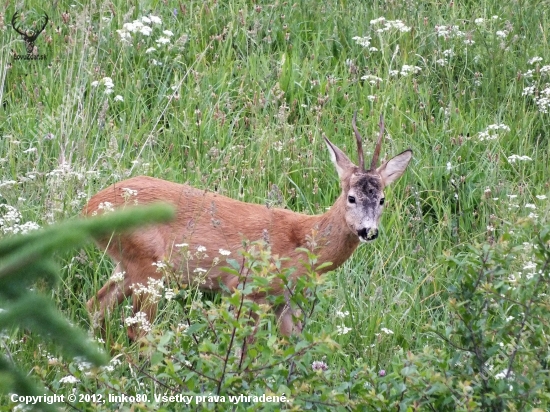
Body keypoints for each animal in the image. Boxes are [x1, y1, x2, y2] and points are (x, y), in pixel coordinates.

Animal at [85, 114, 414, 340]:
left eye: (382, 199)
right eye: (351, 197)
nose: (368, 231)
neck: (304, 240)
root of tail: (90, 206)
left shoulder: (287, 303)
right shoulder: (249, 289)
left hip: (129, 265)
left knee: (96, 303)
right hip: (148, 266)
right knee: (138, 328)